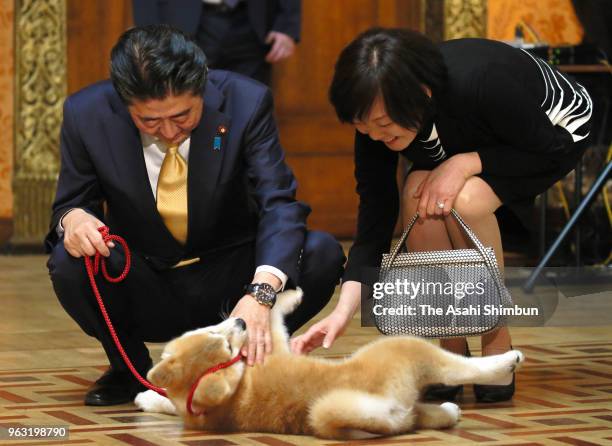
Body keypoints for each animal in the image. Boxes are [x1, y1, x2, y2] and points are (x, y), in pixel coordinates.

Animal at [136, 290, 524, 440]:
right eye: (225, 342)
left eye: (212, 331)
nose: (243, 322)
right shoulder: (275, 343)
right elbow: (275, 315)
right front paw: (292, 295)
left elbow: (167, 401)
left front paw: (147, 396)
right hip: (402, 349)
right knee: (459, 368)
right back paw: (505, 363)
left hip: (399, 410)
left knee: (423, 415)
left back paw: (449, 409)